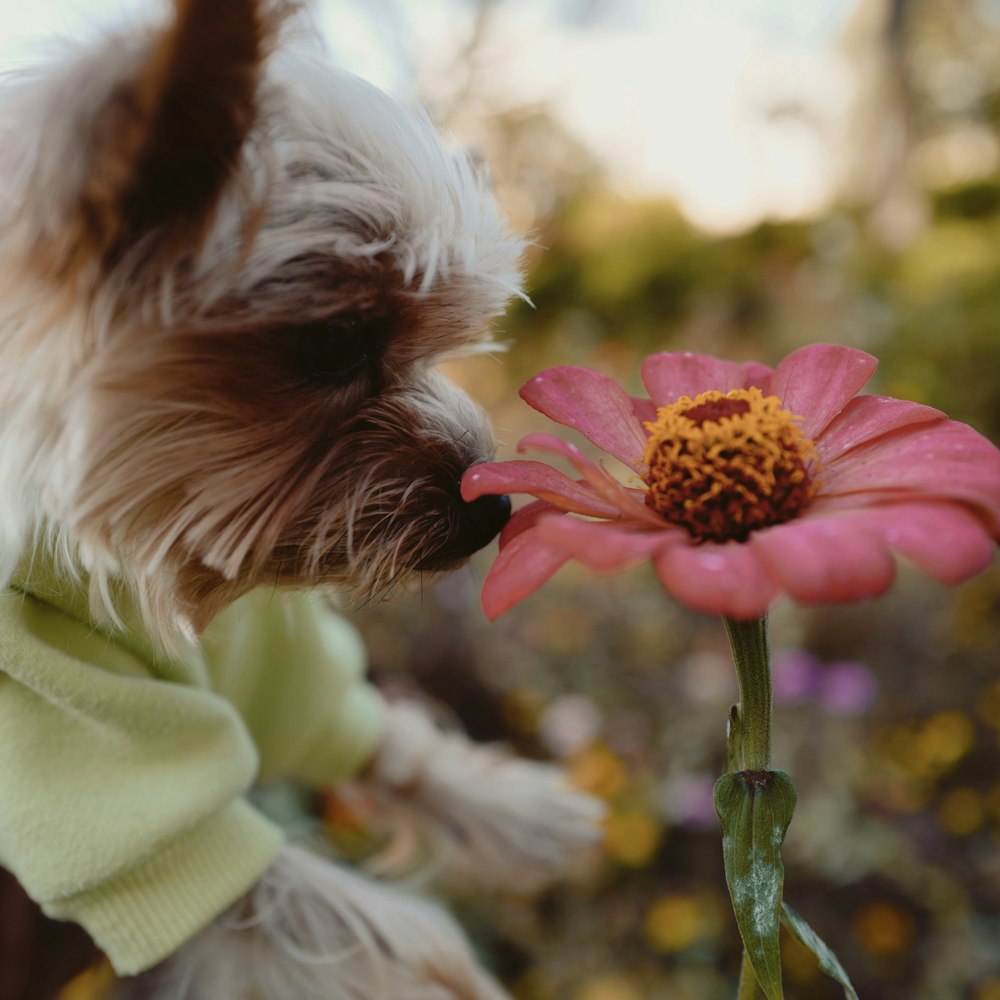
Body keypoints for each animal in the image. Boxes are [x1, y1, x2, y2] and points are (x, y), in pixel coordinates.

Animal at [0, 3, 600, 996]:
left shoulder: (263, 652)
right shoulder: (75, 742)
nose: (492, 511)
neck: (116, 566)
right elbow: (351, 920)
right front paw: (462, 975)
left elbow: (358, 722)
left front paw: (515, 812)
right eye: (330, 345)